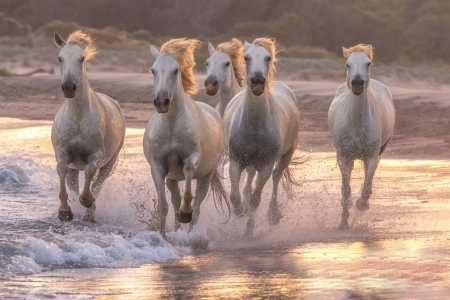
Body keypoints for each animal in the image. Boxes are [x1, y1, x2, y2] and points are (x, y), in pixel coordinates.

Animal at [52, 31, 125, 221]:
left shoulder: (96, 155)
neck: (78, 119)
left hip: (109, 162)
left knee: (98, 184)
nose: (68, 87)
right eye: (60, 58)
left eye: (82, 58)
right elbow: (62, 171)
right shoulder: (63, 155)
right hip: (74, 169)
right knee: (74, 185)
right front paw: (65, 211)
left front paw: (87, 202)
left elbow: (90, 173)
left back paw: (90, 212)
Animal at [144, 38, 229, 237]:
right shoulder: (158, 167)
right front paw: (162, 236)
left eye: (176, 70)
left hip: (206, 176)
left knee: (197, 206)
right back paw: (177, 230)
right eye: (153, 70)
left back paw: (190, 232)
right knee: (175, 201)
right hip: (172, 179)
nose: (161, 102)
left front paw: (185, 213)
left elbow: (189, 172)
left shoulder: (192, 158)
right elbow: (163, 206)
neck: (172, 126)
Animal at [224, 37, 300, 236]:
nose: (257, 82)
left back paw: (273, 214)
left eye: (268, 58)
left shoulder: (266, 165)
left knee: (276, 176)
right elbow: (235, 196)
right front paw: (238, 212)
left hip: (286, 155)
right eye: (246, 57)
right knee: (250, 179)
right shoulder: (235, 161)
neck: (254, 127)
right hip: (250, 162)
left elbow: (255, 200)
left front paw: (248, 232)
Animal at [328, 44, 396, 229]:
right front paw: (344, 223)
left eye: (368, 63)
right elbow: (345, 191)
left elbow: (366, 187)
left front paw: (362, 204)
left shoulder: (371, 157)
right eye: (347, 64)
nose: (357, 84)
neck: (357, 124)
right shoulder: (343, 157)